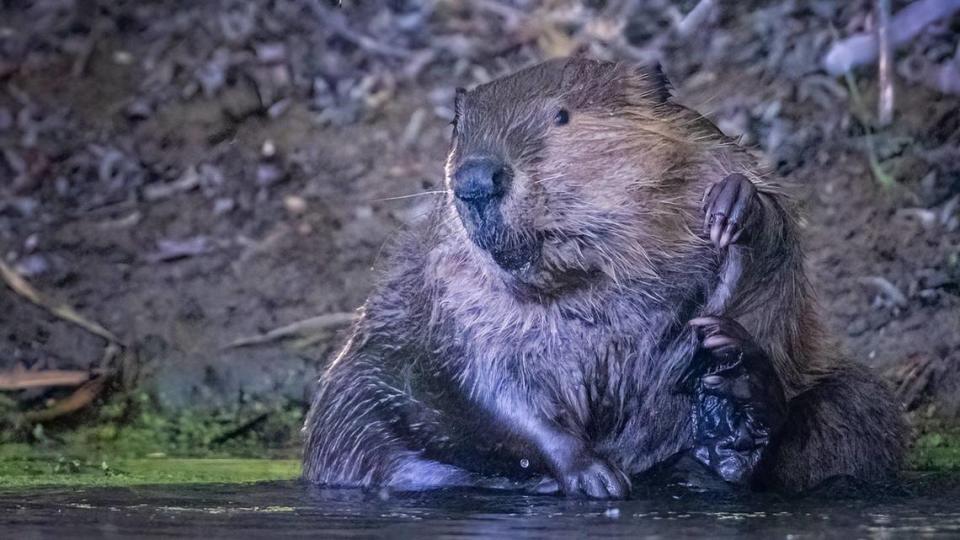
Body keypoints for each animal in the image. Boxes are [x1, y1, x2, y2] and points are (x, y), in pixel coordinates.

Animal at [302, 56, 908, 498]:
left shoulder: (708, 153)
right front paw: (595, 477)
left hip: (854, 403)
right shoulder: (450, 286)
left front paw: (733, 207)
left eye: (562, 116)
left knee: (845, 421)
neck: (583, 272)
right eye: (458, 128)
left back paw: (735, 399)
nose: (474, 180)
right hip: (352, 410)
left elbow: (769, 261)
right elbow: (490, 382)